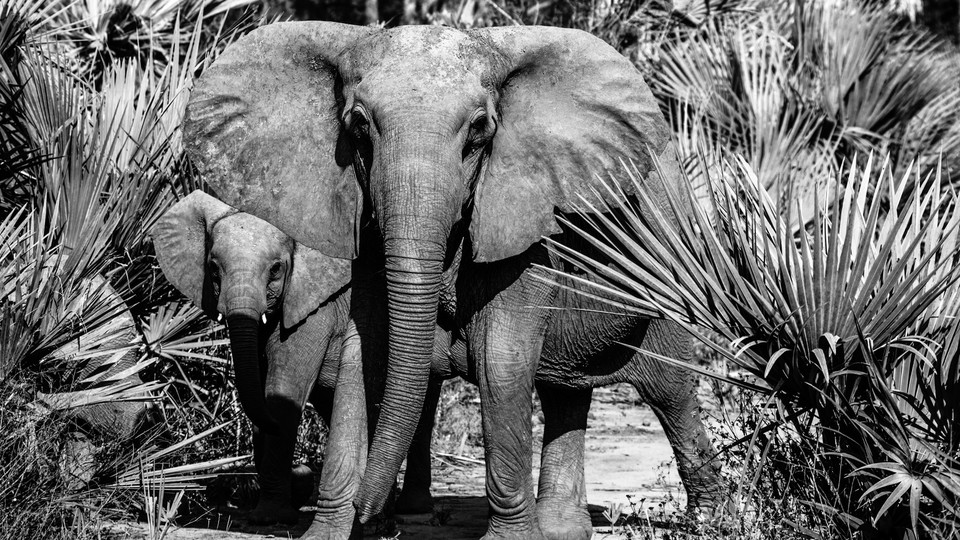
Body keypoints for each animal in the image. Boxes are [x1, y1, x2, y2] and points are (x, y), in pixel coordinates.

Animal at [186, 23, 720, 540]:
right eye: (358, 126)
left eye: (480, 129)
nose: (373, 516)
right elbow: (367, 352)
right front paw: (328, 532)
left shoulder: (520, 219)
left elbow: (500, 360)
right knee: (564, 392)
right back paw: (563, 529)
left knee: (672, 395)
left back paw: (709, 519)